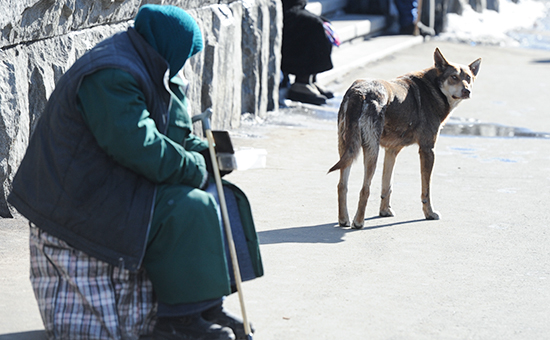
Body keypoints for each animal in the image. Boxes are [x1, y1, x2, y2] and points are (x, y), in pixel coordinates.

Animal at [330, 47, 480, 228]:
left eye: (468, 78)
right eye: (454, 77)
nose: (467, 91)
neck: (434, 88)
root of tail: (360, 93)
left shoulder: (391, 151)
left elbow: (387, 186)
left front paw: (384, 211)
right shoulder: (427, 150)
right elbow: (426, 190)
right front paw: (429, 213)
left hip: (346, 149)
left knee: (341, 185)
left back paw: (344, 219)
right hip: (371, 151)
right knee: (364, 188)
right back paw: (358, 222)